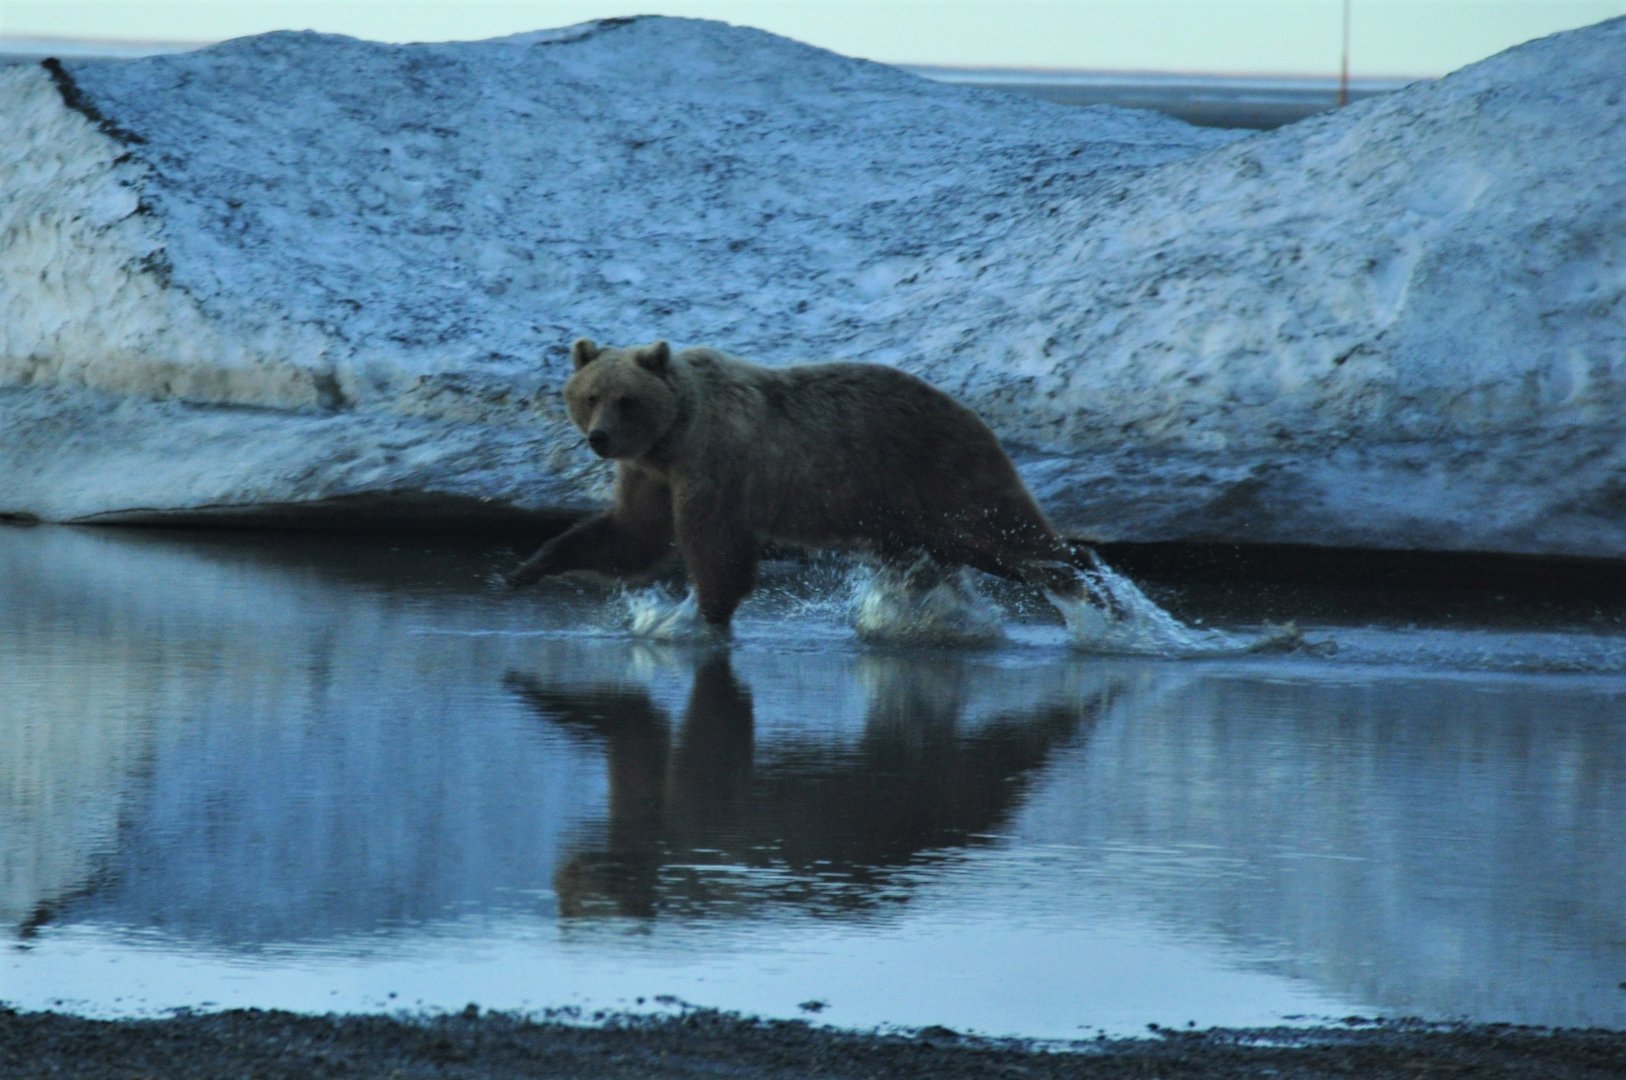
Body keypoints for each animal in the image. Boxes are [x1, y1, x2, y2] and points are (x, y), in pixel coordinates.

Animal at [507, 338, 1104, 631]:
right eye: (590, 395)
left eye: (625, 398)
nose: (600, 438)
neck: (673, 436)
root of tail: (971, 411)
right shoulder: (649, 474)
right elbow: (630, 535)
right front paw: (527, 567)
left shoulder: (717, 466)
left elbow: (715, 548)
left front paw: (699, 615)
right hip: (897, 514)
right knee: (930, 562)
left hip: (940, 472)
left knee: (1008, 534)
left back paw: (1098, 602)